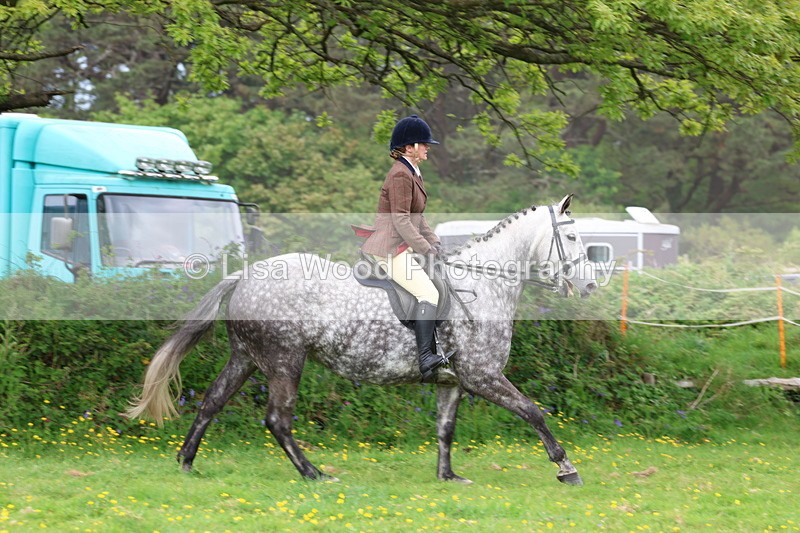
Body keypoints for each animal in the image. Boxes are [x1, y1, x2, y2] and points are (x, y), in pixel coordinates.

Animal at [125, 194, 598, 485]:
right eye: (572, 236)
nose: (590, 287)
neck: (485, 284)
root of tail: (243, 275)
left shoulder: (454, 382)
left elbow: (445, 429)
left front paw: (448, 477)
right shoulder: (483, 376)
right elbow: (533, 412)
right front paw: (566, 467)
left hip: (245, 357)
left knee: (212, 402)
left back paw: (186, 462)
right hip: (284, 361)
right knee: (277, 419)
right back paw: (314, 474)